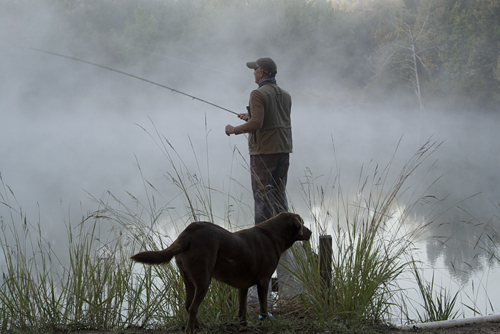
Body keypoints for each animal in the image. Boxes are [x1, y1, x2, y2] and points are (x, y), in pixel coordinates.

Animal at [131, 213, 310, 332]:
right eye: (302, 223)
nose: (311, 232)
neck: (273, 235)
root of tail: (188, 232)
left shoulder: (243, 287)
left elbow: (242, 309)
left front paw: (244, 327)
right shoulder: (264, 280)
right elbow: (263, 306)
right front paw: (266, 323)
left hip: (189, 280)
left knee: (188, 305)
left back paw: (199, 326)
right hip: (203, 279)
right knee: (193, 307)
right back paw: (190, 330)